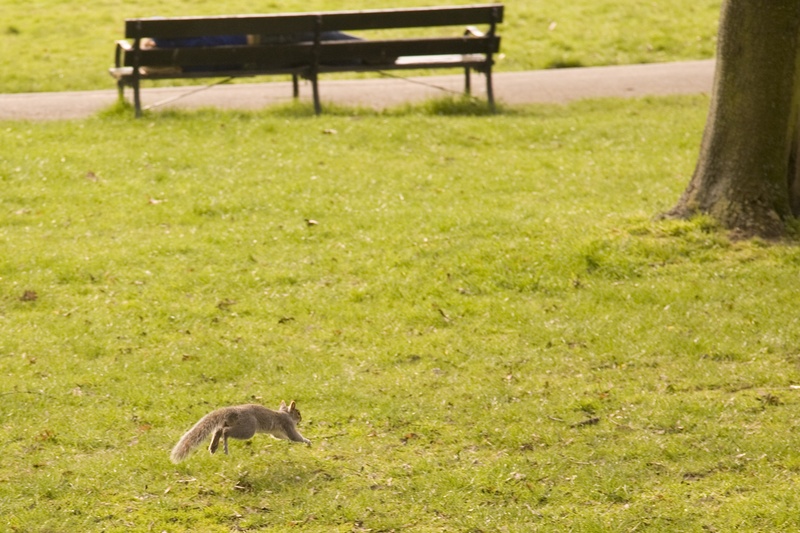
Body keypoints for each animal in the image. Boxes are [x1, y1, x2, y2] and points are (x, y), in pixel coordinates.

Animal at [170, 400, 311, 463]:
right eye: (298, 412)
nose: (301, 418)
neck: (284, 413)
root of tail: (232, 411)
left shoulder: (278, 432)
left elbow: (280, 436)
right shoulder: (287, 424)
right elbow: (294, 437)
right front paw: (307, 441)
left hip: (231, 423)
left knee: (218, 429)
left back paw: (213, 446)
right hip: (248, 429)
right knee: (225, 431)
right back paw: (224, 448)